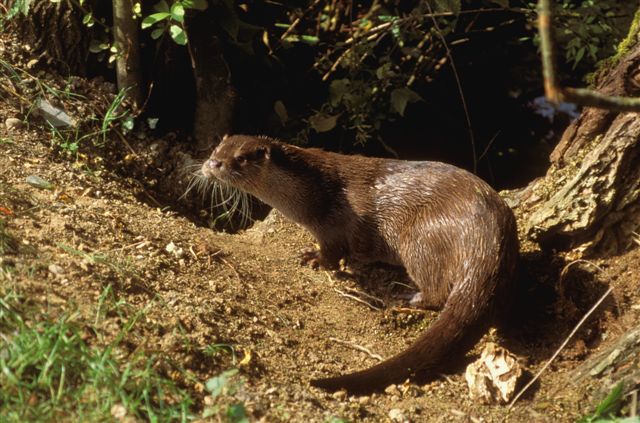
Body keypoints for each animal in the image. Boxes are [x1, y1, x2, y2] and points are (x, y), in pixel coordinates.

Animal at [202, 135, 516, 394]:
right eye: (217, 149)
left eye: (241, 158)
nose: (213, 163)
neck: (315, 191)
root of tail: (487, 238)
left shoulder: (332, 226)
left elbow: (332, 255)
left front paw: (313, 258)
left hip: (419, 240)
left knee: (437, 291)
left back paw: (407, 297)